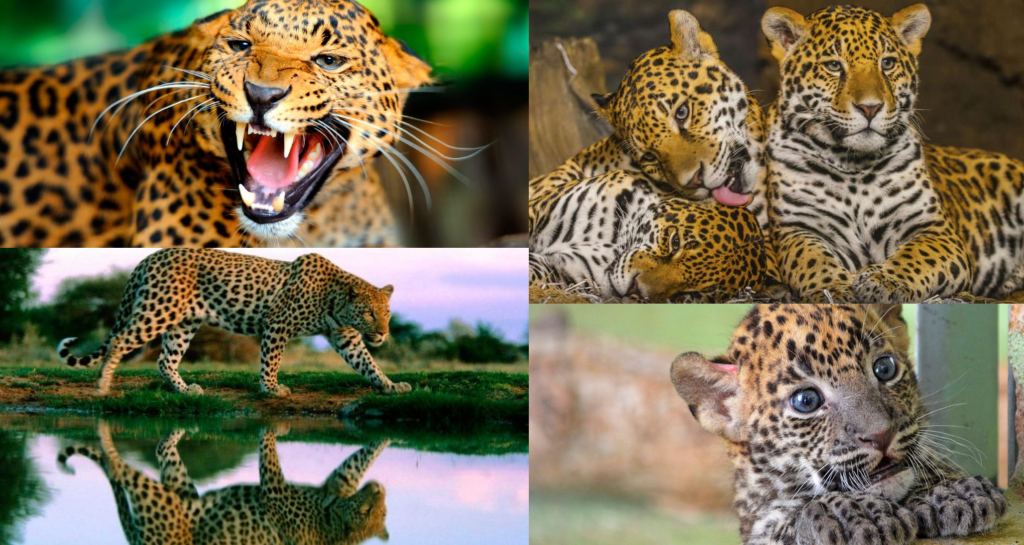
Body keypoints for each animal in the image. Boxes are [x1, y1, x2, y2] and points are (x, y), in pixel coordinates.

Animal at [56, 248, 411, 397]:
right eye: (369, 313)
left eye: (387, 313)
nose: (383, 334)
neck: (334, 299)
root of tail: (150, 256)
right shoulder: (277, 324)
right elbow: (271, 361)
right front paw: (271, 389)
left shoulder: (345, 336)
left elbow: (367, 363)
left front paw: (390, 385)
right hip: (158, 311)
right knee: (118, 341)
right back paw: (102, 385)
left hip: (184, 323)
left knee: (164, 359)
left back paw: (185, 390)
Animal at [671, 304, 1007, 545]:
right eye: (806, 400)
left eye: (885, 368)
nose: (881, 435)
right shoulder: (756, 524)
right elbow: (781, 519)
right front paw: (853, 514)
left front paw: (951, 491)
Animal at [760, 4, 1024, 303]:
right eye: (834, 66)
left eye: (887, 63)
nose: (870, 108)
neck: (853, 165)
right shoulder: (797, 229)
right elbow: (812, 260)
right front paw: (835, 289)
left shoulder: (934, 229)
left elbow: (917, 257)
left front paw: (883, 280)